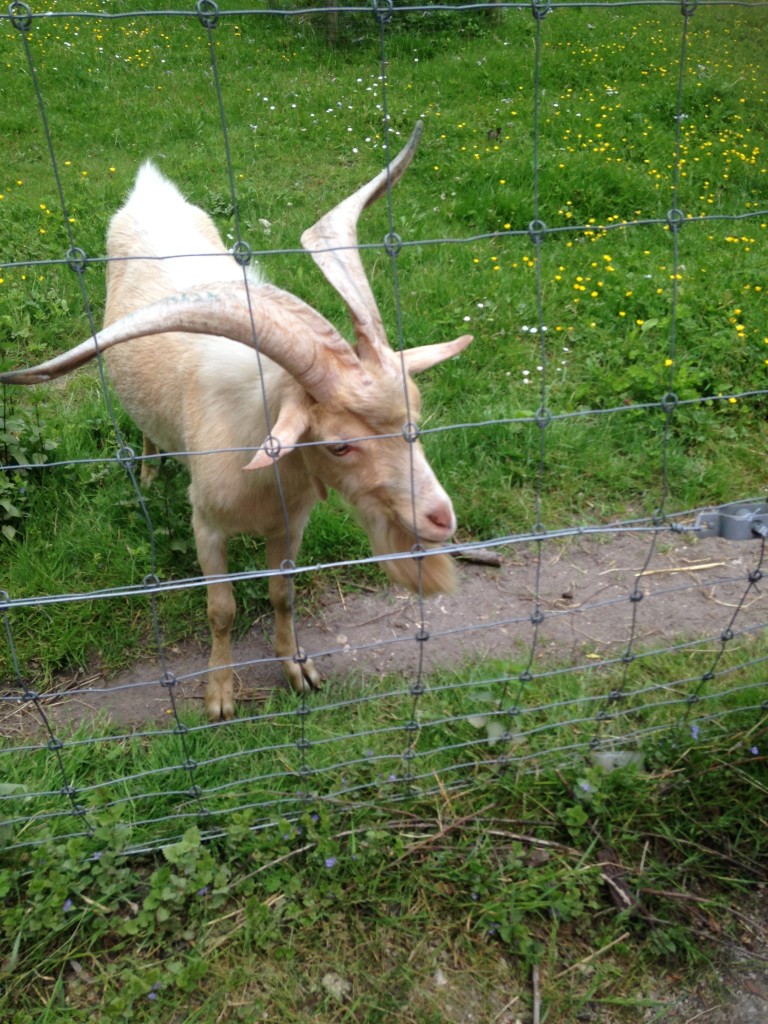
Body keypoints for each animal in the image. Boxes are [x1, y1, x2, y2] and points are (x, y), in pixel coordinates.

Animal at [0, 121, 473, 720]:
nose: (440, 519)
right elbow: (221, 610)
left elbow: (282, 595)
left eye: (416, 411)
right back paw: (148, 476)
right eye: (339, 445)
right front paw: (220, 695)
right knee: (148, 433)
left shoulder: (292, 525)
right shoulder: (206, 525)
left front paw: (298, 669)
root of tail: (151, 188)